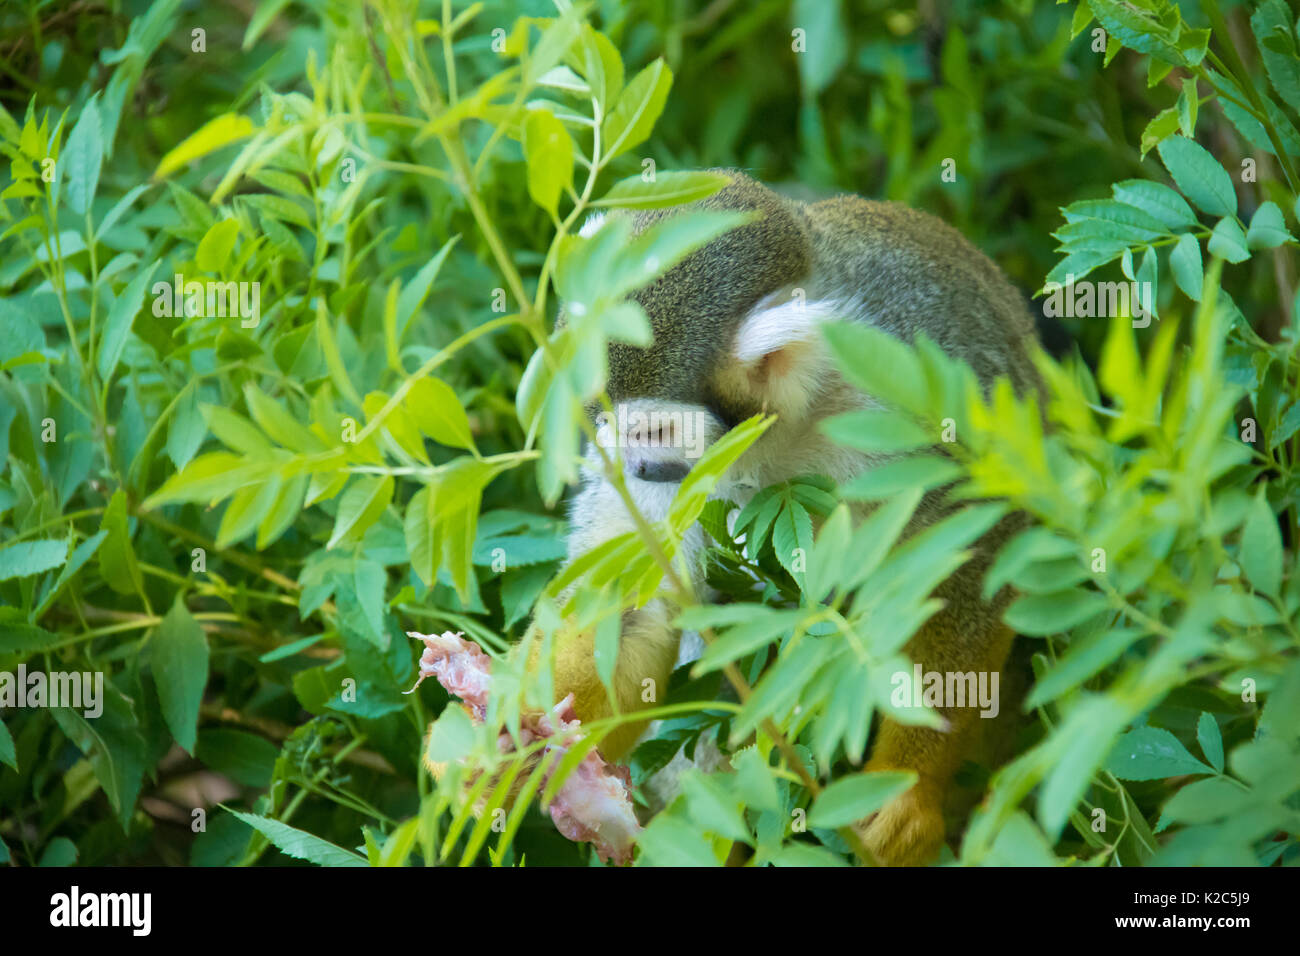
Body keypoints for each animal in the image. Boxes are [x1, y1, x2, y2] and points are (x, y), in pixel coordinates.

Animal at [491, 170, 1040, 868]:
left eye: (656, 431)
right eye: (600, 418)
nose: (631, 468)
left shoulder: (903, 397)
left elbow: (964, 560)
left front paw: (907, 791)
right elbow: (635, 606)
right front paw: (507, 749)